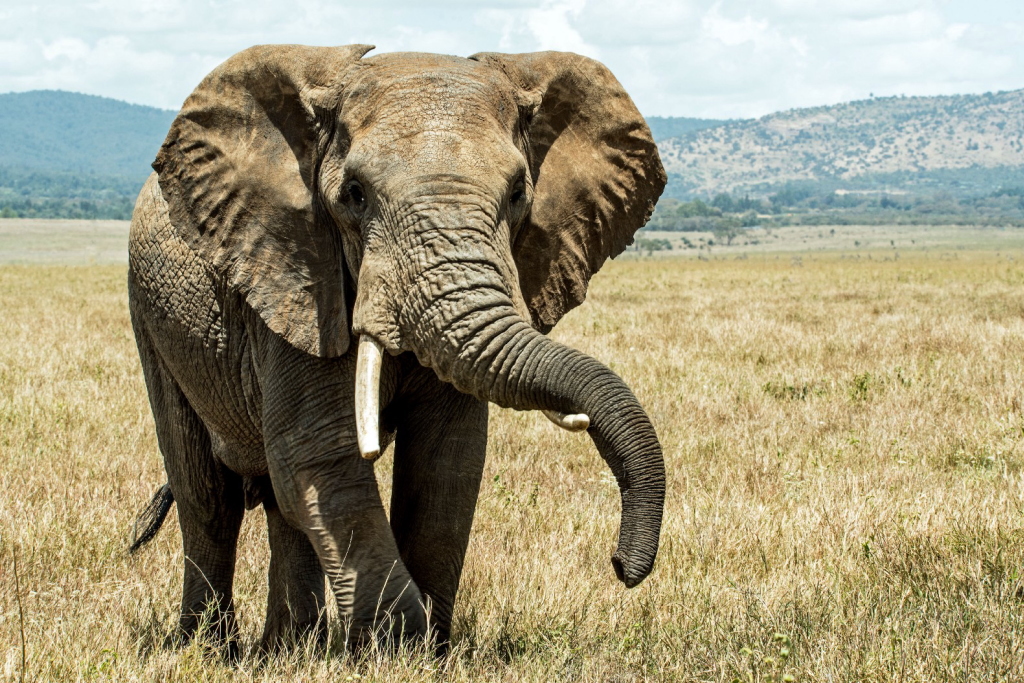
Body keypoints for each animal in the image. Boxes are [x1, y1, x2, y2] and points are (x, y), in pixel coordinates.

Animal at [128, 44, 667, 655]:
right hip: (153, 319)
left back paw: (287, 650)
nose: (621, 565)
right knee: (208, 496)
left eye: (517, 194)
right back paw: (210, 649)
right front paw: (397, 645)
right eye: (355, 195)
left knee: (278, 502)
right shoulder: (297, 277)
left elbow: (446, 461)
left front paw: (429, 650)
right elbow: (321, 453)